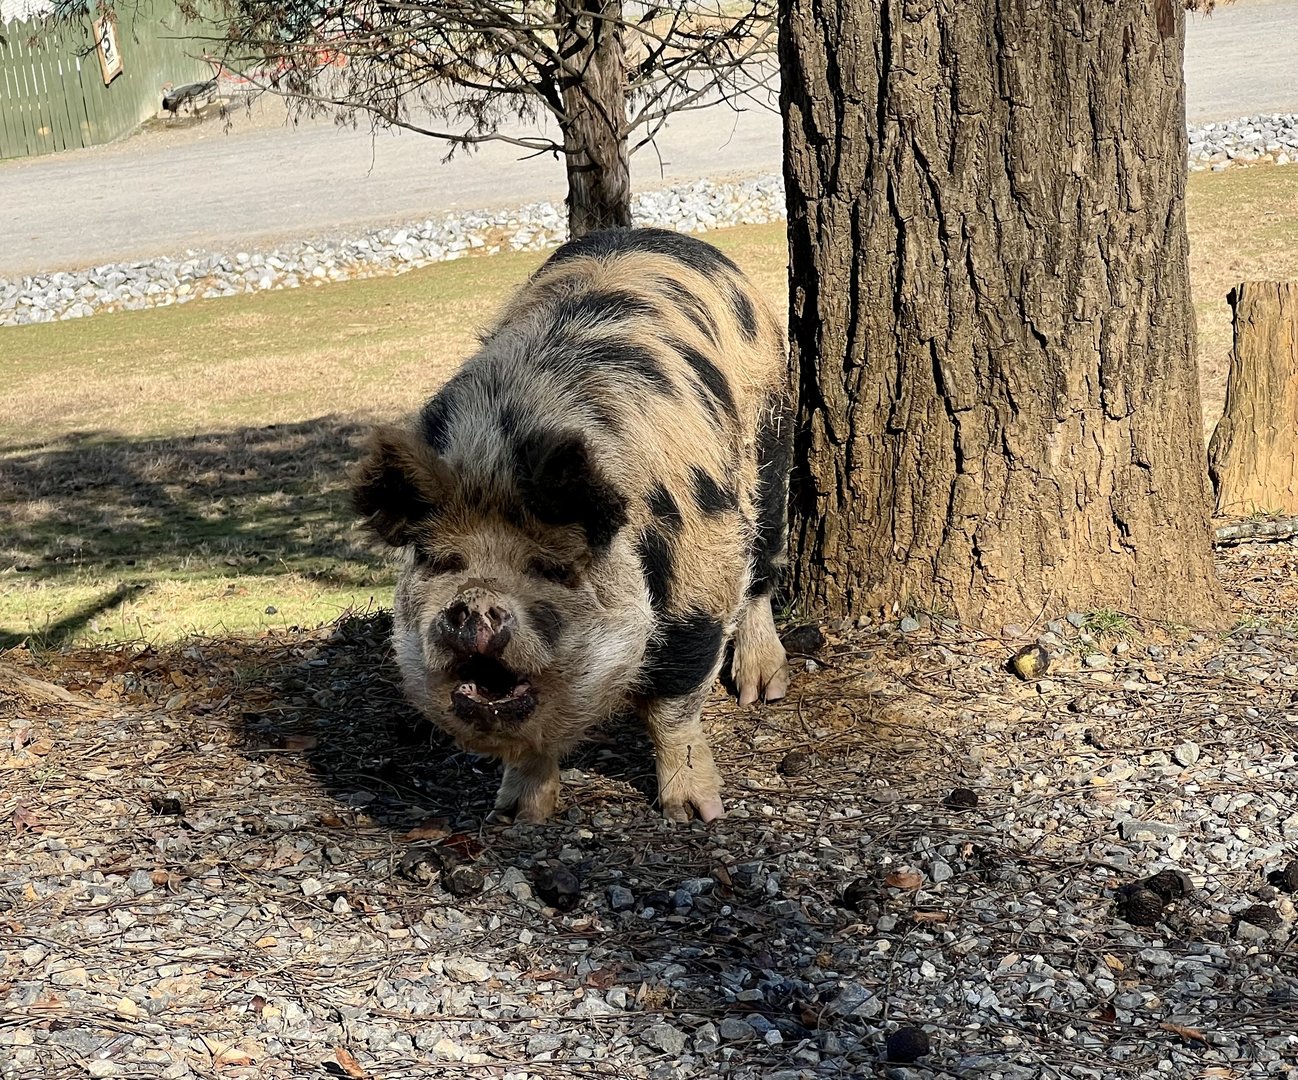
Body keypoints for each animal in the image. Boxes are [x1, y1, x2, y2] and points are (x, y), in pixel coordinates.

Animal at [351, 227, 792, 823]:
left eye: (553, 567)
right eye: (440, 560)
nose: (476, 599)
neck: (500, 459)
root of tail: (651, 233)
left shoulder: (701, 562)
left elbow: (674, 700)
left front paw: (695, 813)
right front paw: (515, 817)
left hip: (772, 441)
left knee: (763, 563)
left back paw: (762, 690)